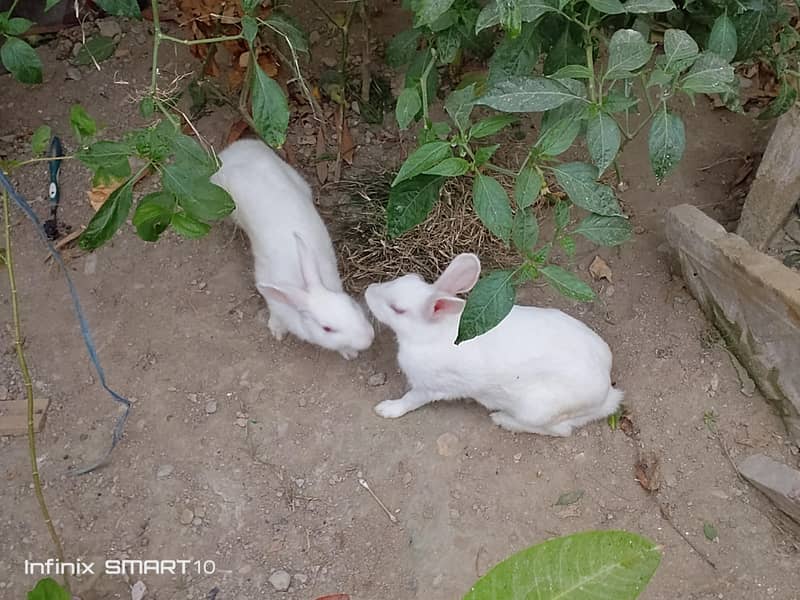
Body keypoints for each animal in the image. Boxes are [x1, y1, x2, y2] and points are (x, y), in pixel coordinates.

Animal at [210, 138, 374, 359]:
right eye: (327, 329)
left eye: (350, 304)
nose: (369, 337)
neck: (303, 288)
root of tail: (235, 150)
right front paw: (277, 331)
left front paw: (349, 352)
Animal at [364, 253, 623, 435]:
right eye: (407, 277)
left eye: (397, 309)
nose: (368, 290)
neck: (431, 332)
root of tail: (607, 394)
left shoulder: (428, 387)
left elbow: (410, 400)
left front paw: (386, 409)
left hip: (536, 409)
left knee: (560, 430)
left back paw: (501, 419)